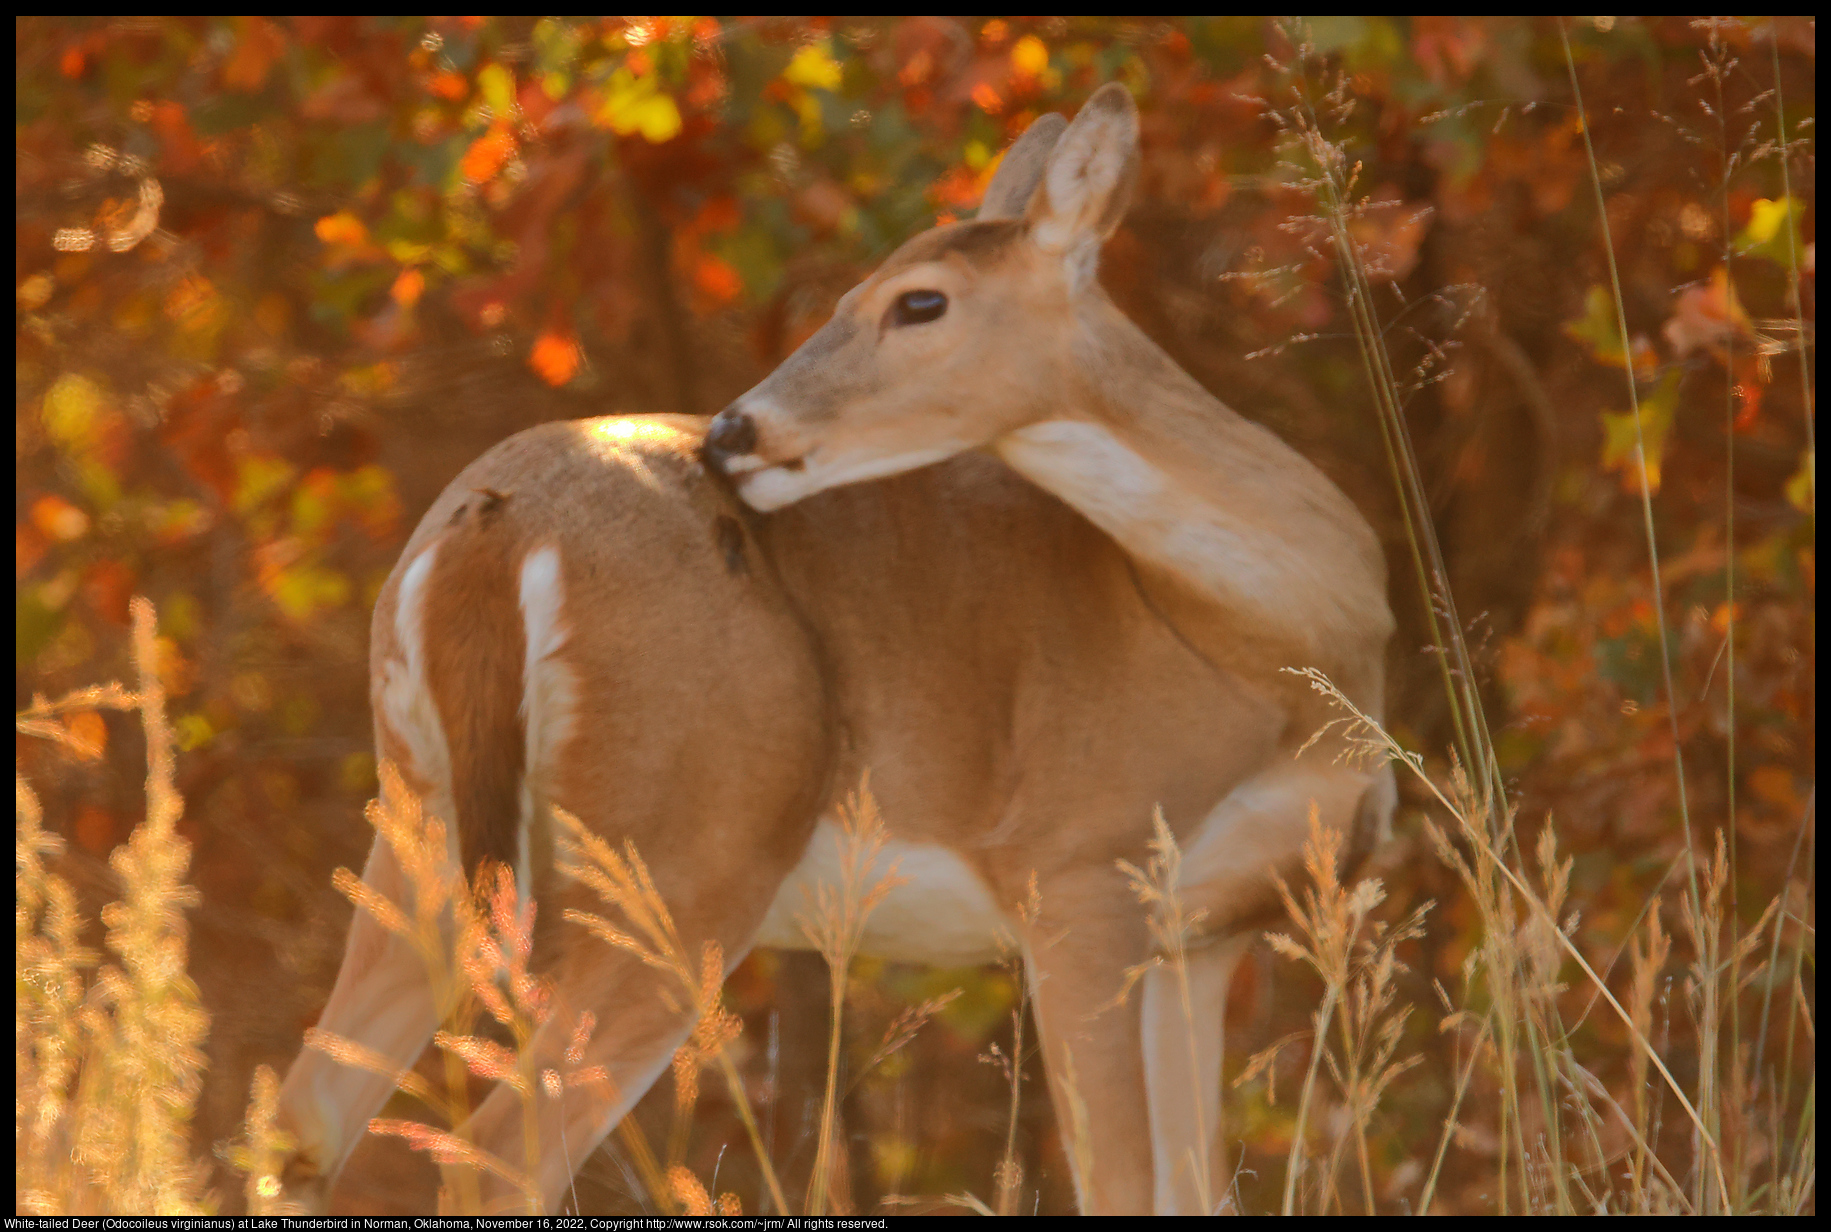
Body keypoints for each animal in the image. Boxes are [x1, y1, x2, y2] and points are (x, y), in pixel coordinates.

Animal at [274, 84, 1384, 1208]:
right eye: (852, 292)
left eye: (919, 301)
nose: (734, 431)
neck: (1277, 643)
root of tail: (497, 527)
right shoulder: (1076, 864)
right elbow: (1121, 1183)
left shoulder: (1204, 928)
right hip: (690, 848)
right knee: (497, 1155)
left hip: (420, 816)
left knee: (307, 1114)